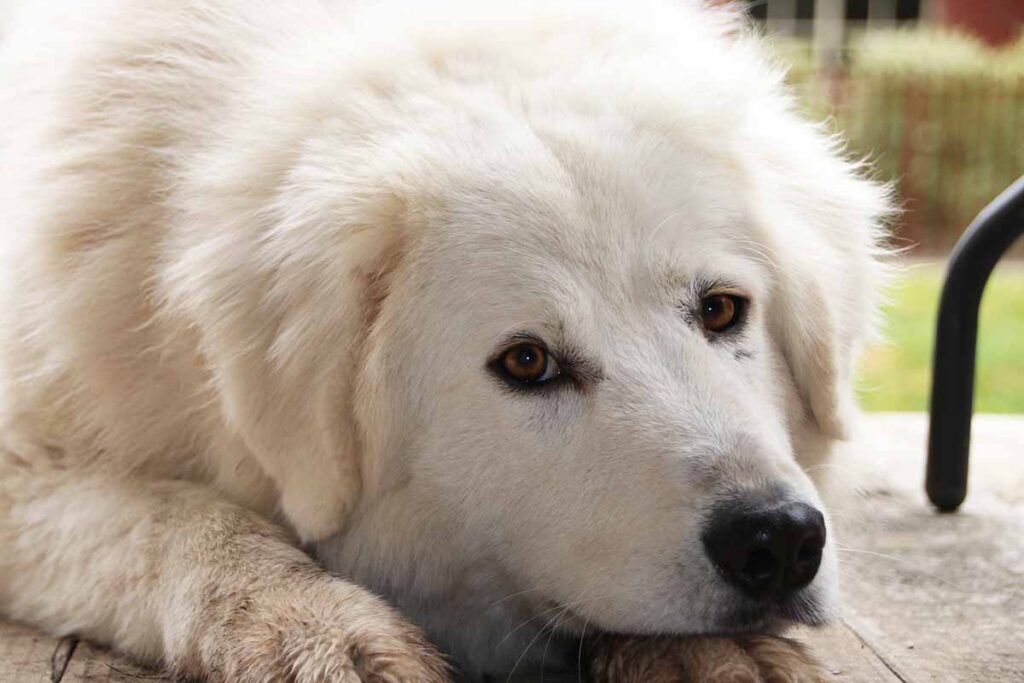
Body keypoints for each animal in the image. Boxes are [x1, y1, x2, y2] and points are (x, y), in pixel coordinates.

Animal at [0, 0, 892, 679]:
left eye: (720, 310)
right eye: (527, 361)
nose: (776, 538)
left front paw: (708, 652)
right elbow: (169, 521)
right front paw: (312, 623)